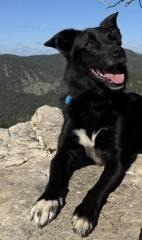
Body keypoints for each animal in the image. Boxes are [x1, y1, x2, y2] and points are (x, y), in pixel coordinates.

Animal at [30, 12, 141, 236]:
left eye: (115, 40)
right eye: (90, 44)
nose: (119, 51)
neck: (95, 103)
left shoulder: (117, 160)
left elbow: (98, 187)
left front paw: (84, 214)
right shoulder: (64, 151)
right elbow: (54, 176)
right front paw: (46, 202)